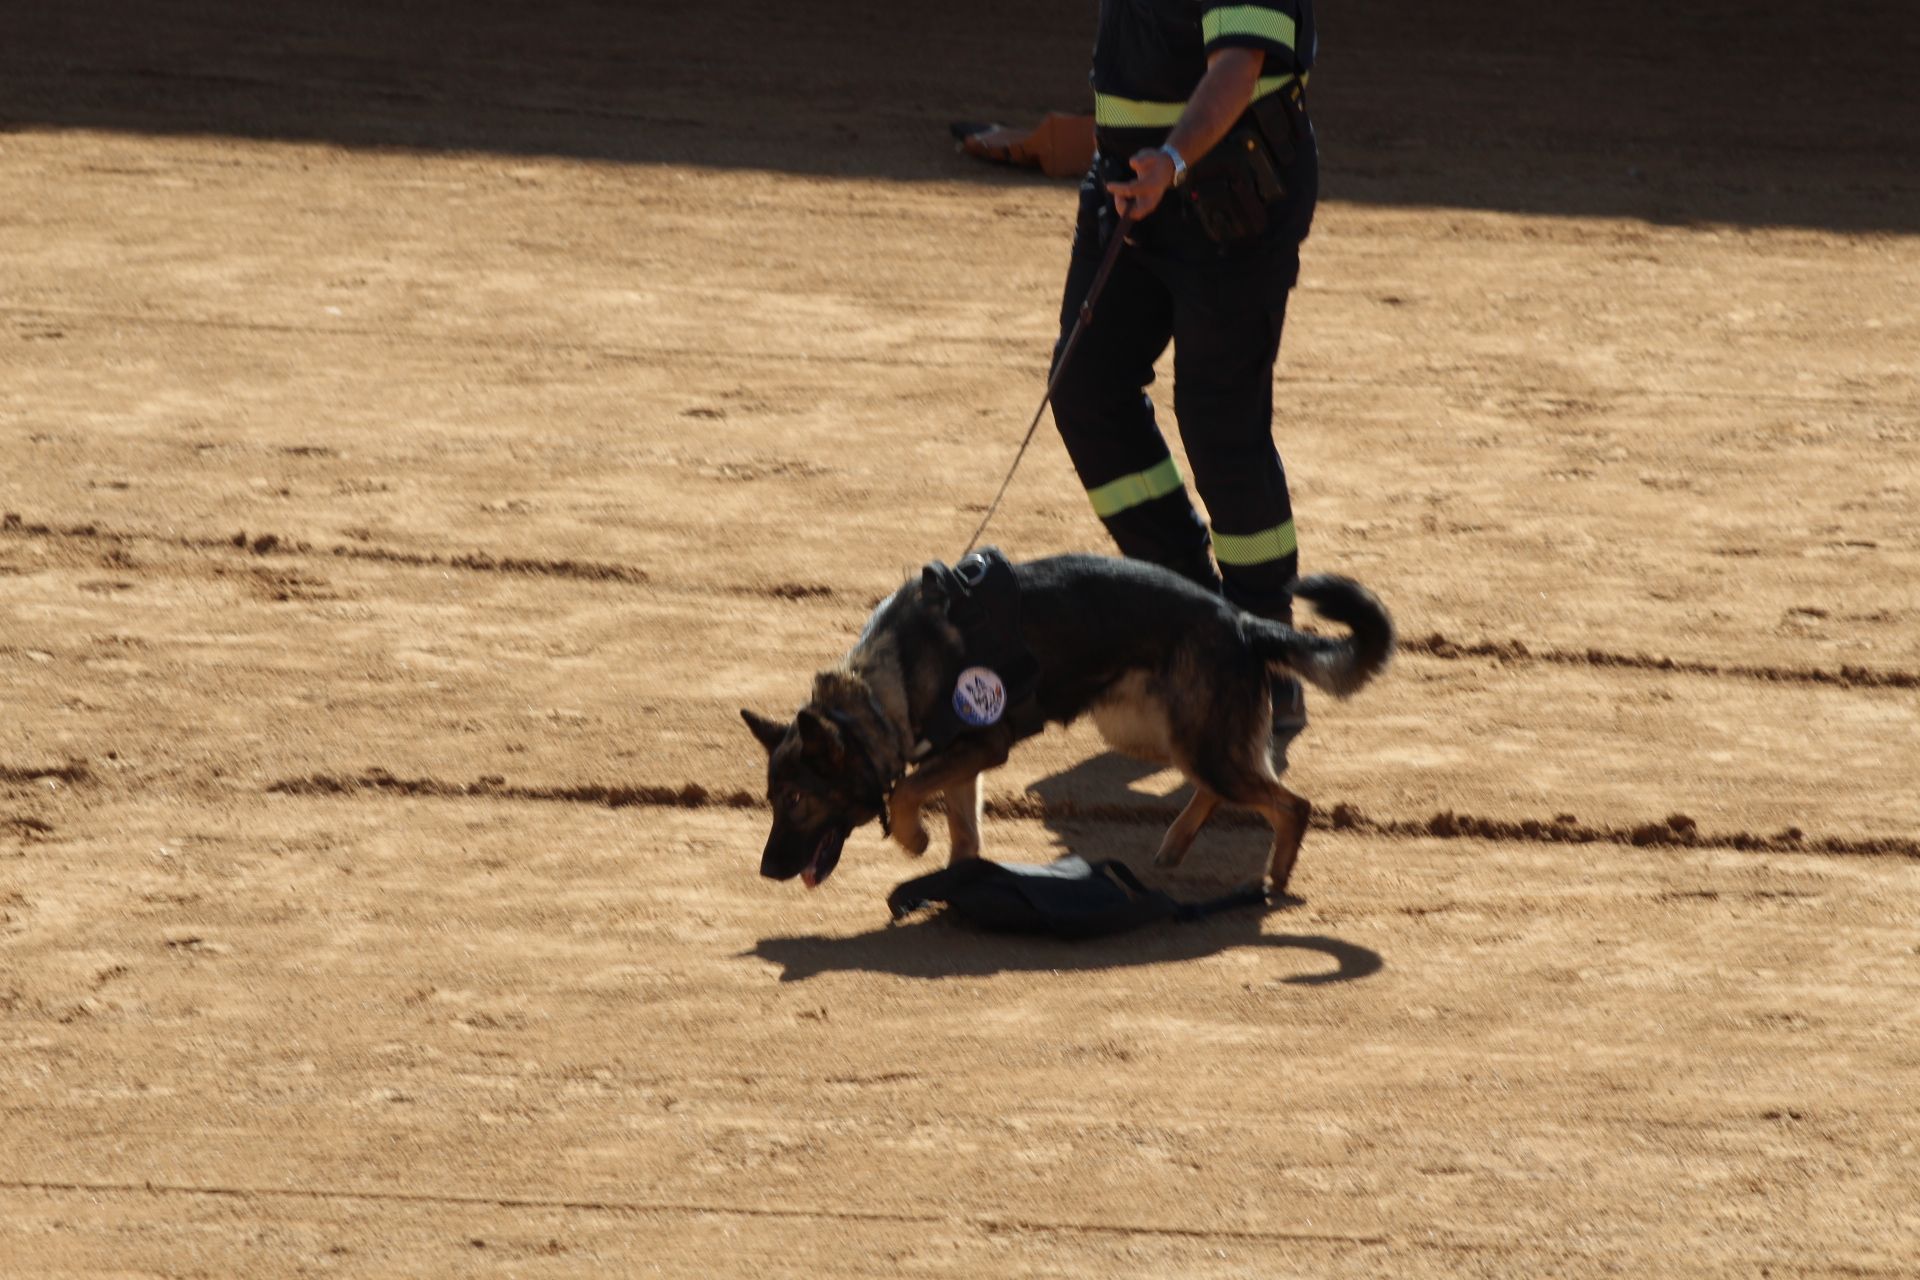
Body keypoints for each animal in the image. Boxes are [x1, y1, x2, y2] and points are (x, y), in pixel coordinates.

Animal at [741, 556, 1390, 898]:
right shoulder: (964, 763)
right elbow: (962, 830)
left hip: (1190, 739)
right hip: (1155, 732)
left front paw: (912, 839)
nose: (767, 870)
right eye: (772, 799)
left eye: (796, 799)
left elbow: (905, 790)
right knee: (1227, 784)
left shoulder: (983, 746)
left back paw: (1274, 881)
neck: (879, 692)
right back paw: (1176, 843)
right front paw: (956, 879)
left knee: (1291, 803)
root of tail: (1241, 621)